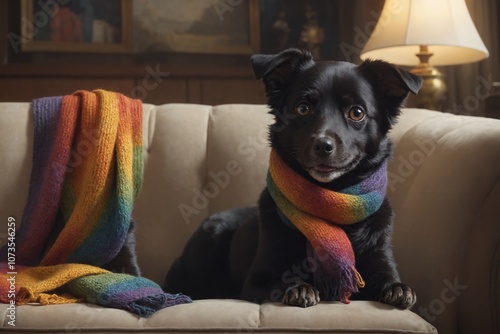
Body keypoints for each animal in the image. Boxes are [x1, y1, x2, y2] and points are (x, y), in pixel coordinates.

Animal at [166, 49, 424, 308]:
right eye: (303, 108)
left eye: (357, 112)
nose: (323, 145)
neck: (333, 197)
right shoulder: (255, 282)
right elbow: (280, 281)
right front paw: (299, 288)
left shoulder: (380, 259)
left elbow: (390, 280)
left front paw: (398, 289)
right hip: (209, 240)